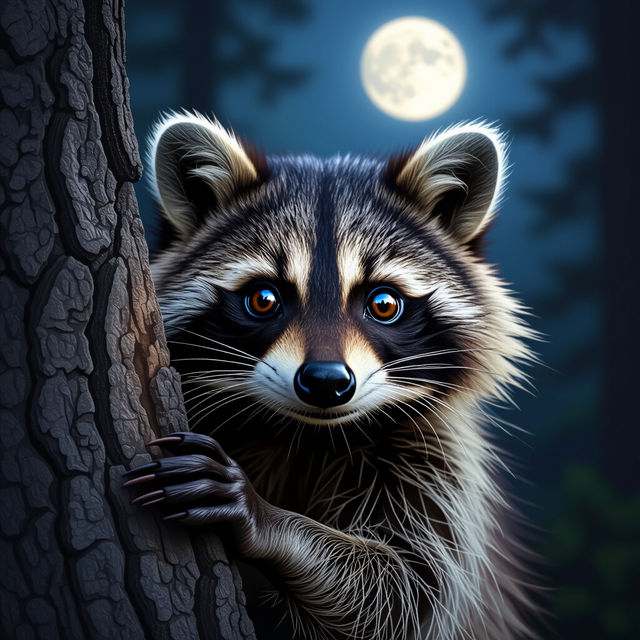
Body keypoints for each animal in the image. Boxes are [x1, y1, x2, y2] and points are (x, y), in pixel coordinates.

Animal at [125, 111, 538, 639]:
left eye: (383, 303)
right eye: (264, 299)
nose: (325, 381)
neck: (303, 434)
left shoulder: (438, 459)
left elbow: (403, 592)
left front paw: (263, 519)